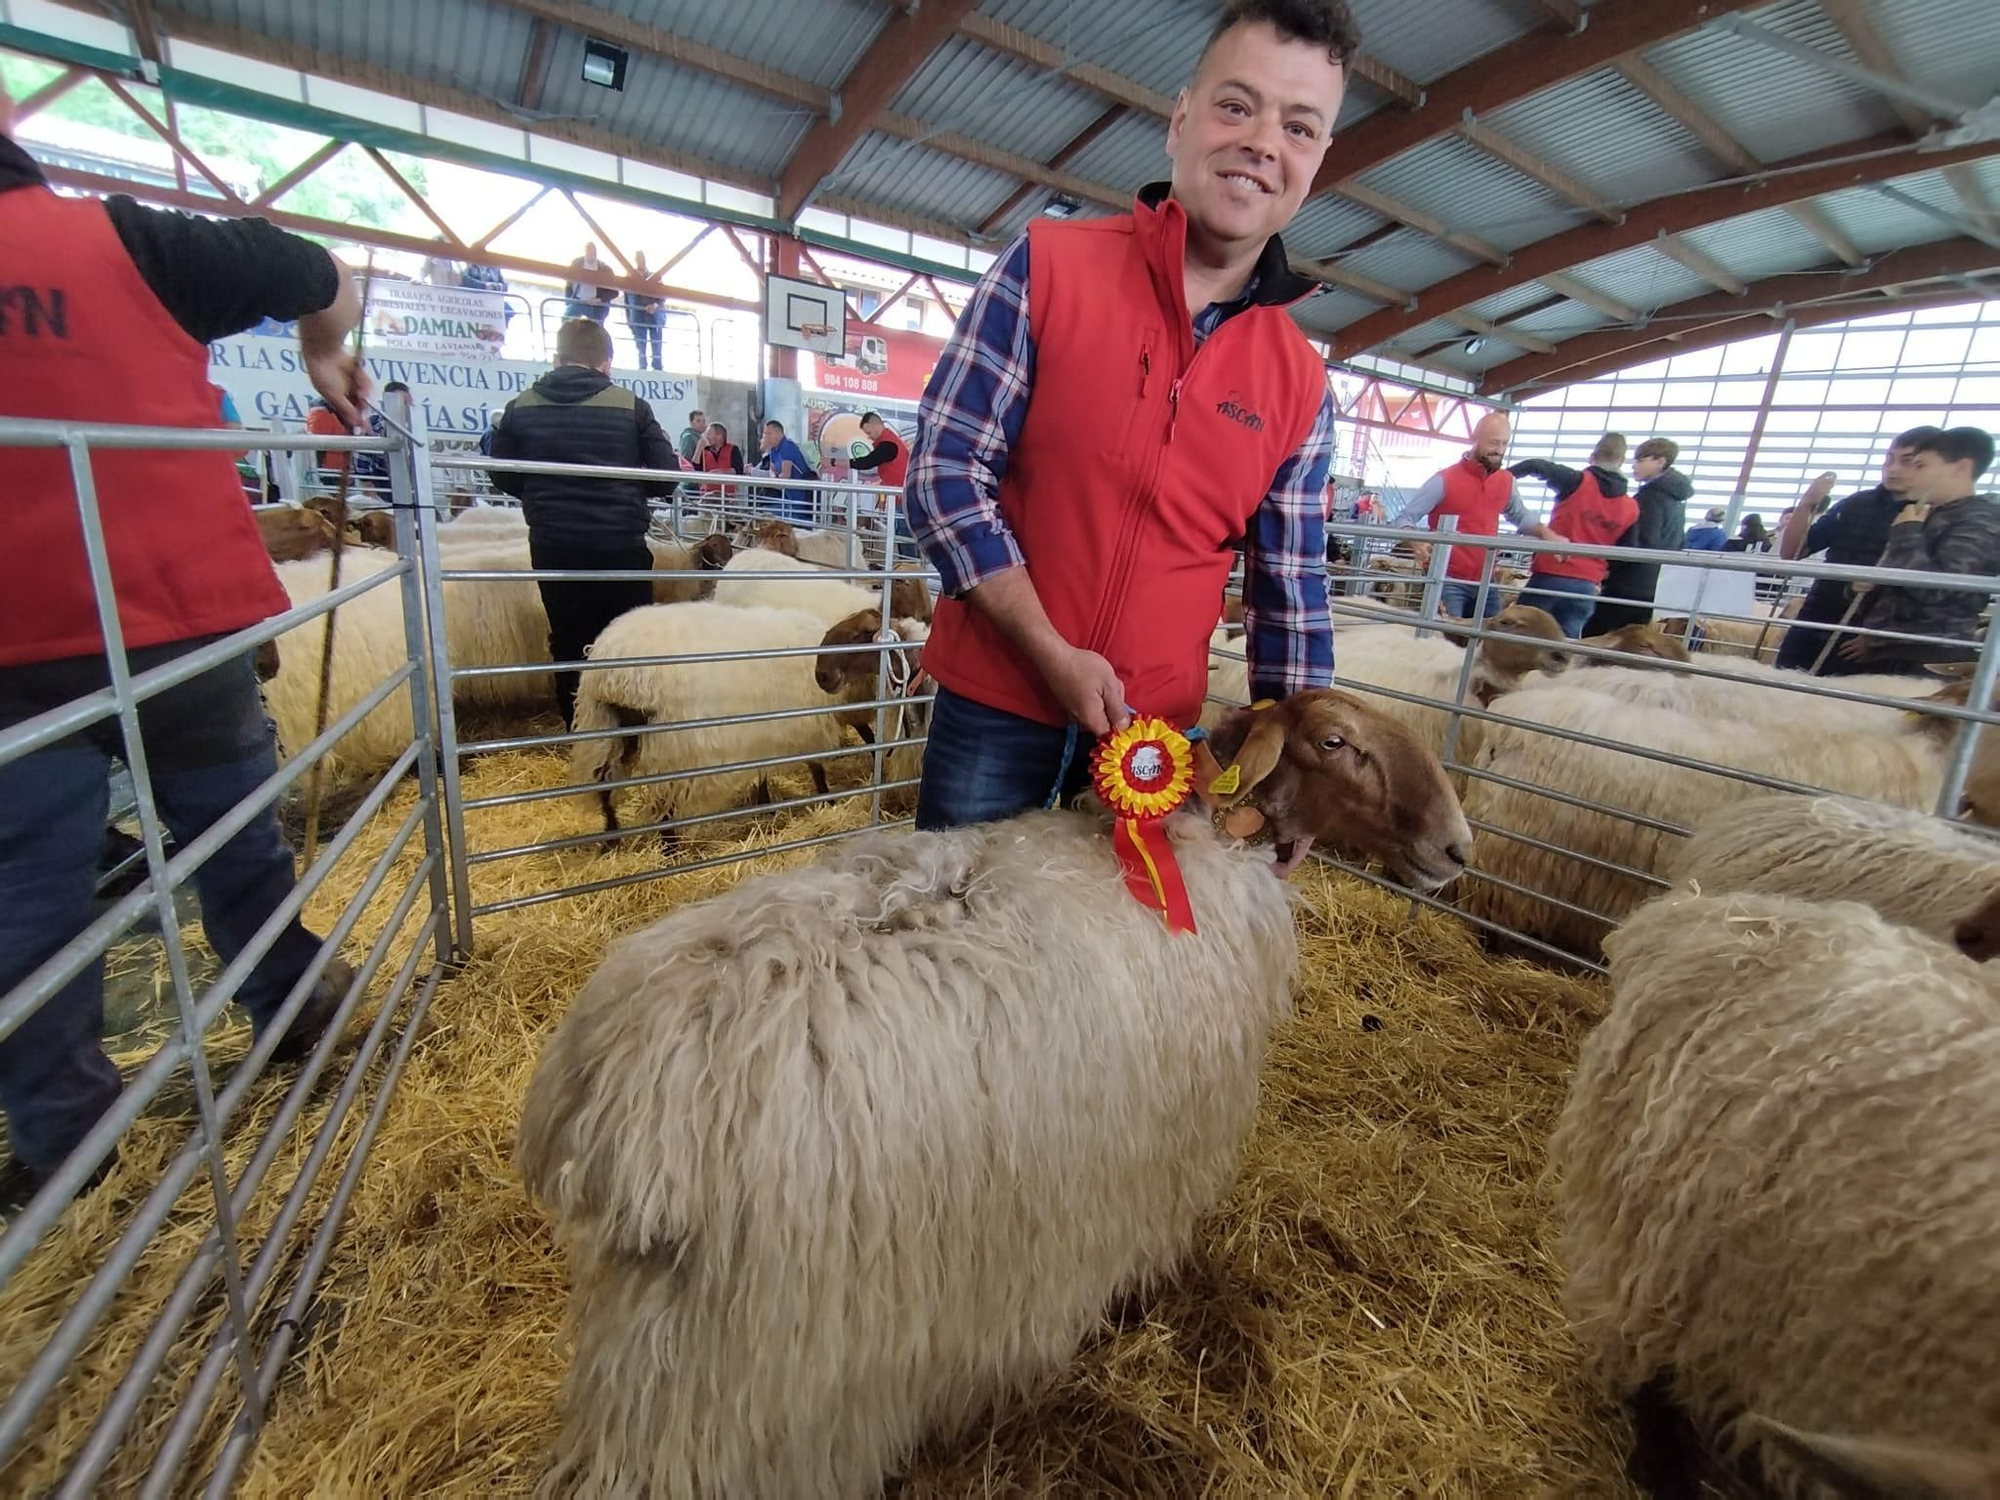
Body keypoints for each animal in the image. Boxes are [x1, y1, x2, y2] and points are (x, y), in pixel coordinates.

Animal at [524, 692, 1480, 1500]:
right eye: (1337, 742)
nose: (1459, 846)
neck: (1203, 845)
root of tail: (614, 1114)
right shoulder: (1163, 1153)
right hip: (755, 1361)